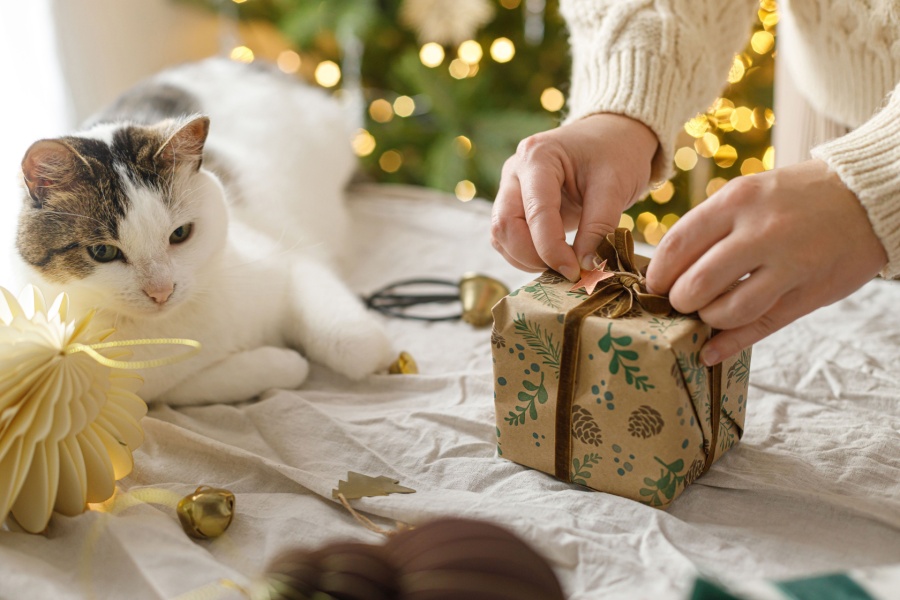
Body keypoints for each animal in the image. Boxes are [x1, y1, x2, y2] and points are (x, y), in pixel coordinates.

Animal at [12, 58, 394, 406]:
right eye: (102, 252)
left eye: (180, 233)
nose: (161, 292)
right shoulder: (156, 391)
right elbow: (213, 381)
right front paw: (283, 361)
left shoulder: (291, 260)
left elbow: (354, 344)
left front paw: (384, 358)